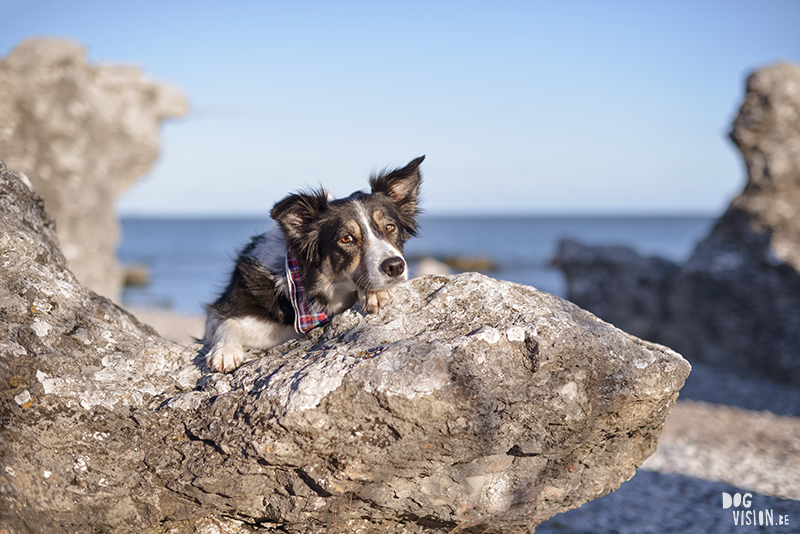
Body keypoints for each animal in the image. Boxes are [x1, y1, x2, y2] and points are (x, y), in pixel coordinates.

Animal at [203, 156, 422, 372]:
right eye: (346, 239)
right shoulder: (227, 310)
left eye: (390, 227)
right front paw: (225, 351)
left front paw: (374, 293)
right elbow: (226, 322)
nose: (395, 266)